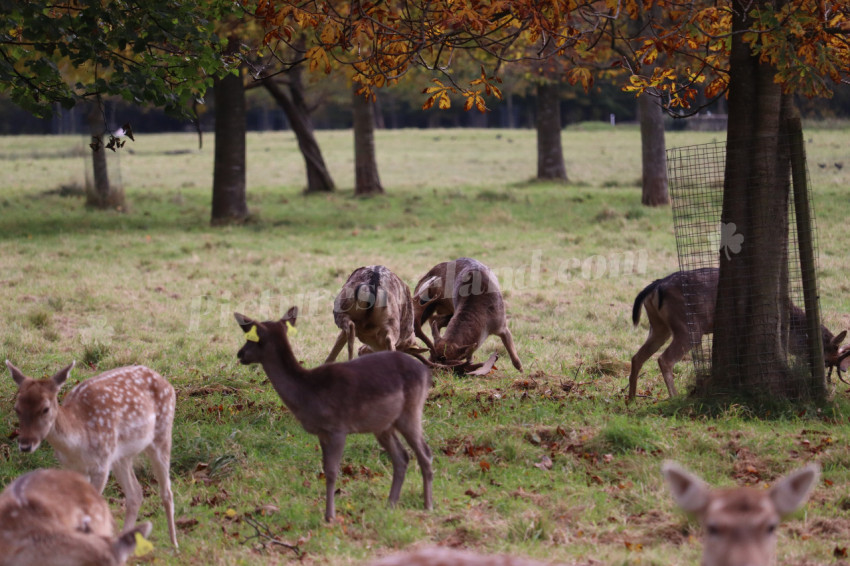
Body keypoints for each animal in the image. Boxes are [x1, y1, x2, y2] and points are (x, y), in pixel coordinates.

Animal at [5, 360, 179, 552]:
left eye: (45, 408)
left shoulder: (101, 465)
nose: (25, 445)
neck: (78, 444)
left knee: (166, 492)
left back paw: (174, 544)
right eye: (17, 408)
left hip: (162, 433)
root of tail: (166, 382)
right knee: (135, 493)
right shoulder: (73, 467)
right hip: (120, 456)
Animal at [232, 310, 430, 524]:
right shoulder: (322, 432)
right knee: (402, 457)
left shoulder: (338, 428)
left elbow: (334, 471)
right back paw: (390, 505)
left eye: (251, 337)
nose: (240, 354)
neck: (307, 392)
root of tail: (426, 373)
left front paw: (330, 516)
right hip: (383, 425)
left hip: (411, 411)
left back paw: (428, 505)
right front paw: (328, 514)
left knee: (424, 452)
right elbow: (325, 469)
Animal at [628, 268, 844, 402]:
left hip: (659, 327)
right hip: (689, 327)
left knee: (637, 357)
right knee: (664, 359)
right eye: (830, 356)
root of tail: (656, 287)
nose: (828, 380)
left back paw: (630, 399)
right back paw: (674, 398)